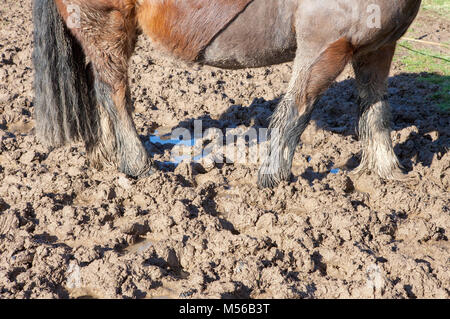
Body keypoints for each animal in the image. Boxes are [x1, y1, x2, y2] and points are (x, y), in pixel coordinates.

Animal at [31, 0, 422, 188]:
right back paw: (139, 167)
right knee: (114, 94)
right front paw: (272, 180)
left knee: (101, 96)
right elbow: (294, 113)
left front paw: (389, 172)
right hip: (106, 27)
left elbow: (376, 111)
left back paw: (106, 158)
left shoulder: (378, 49)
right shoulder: (324, 48)